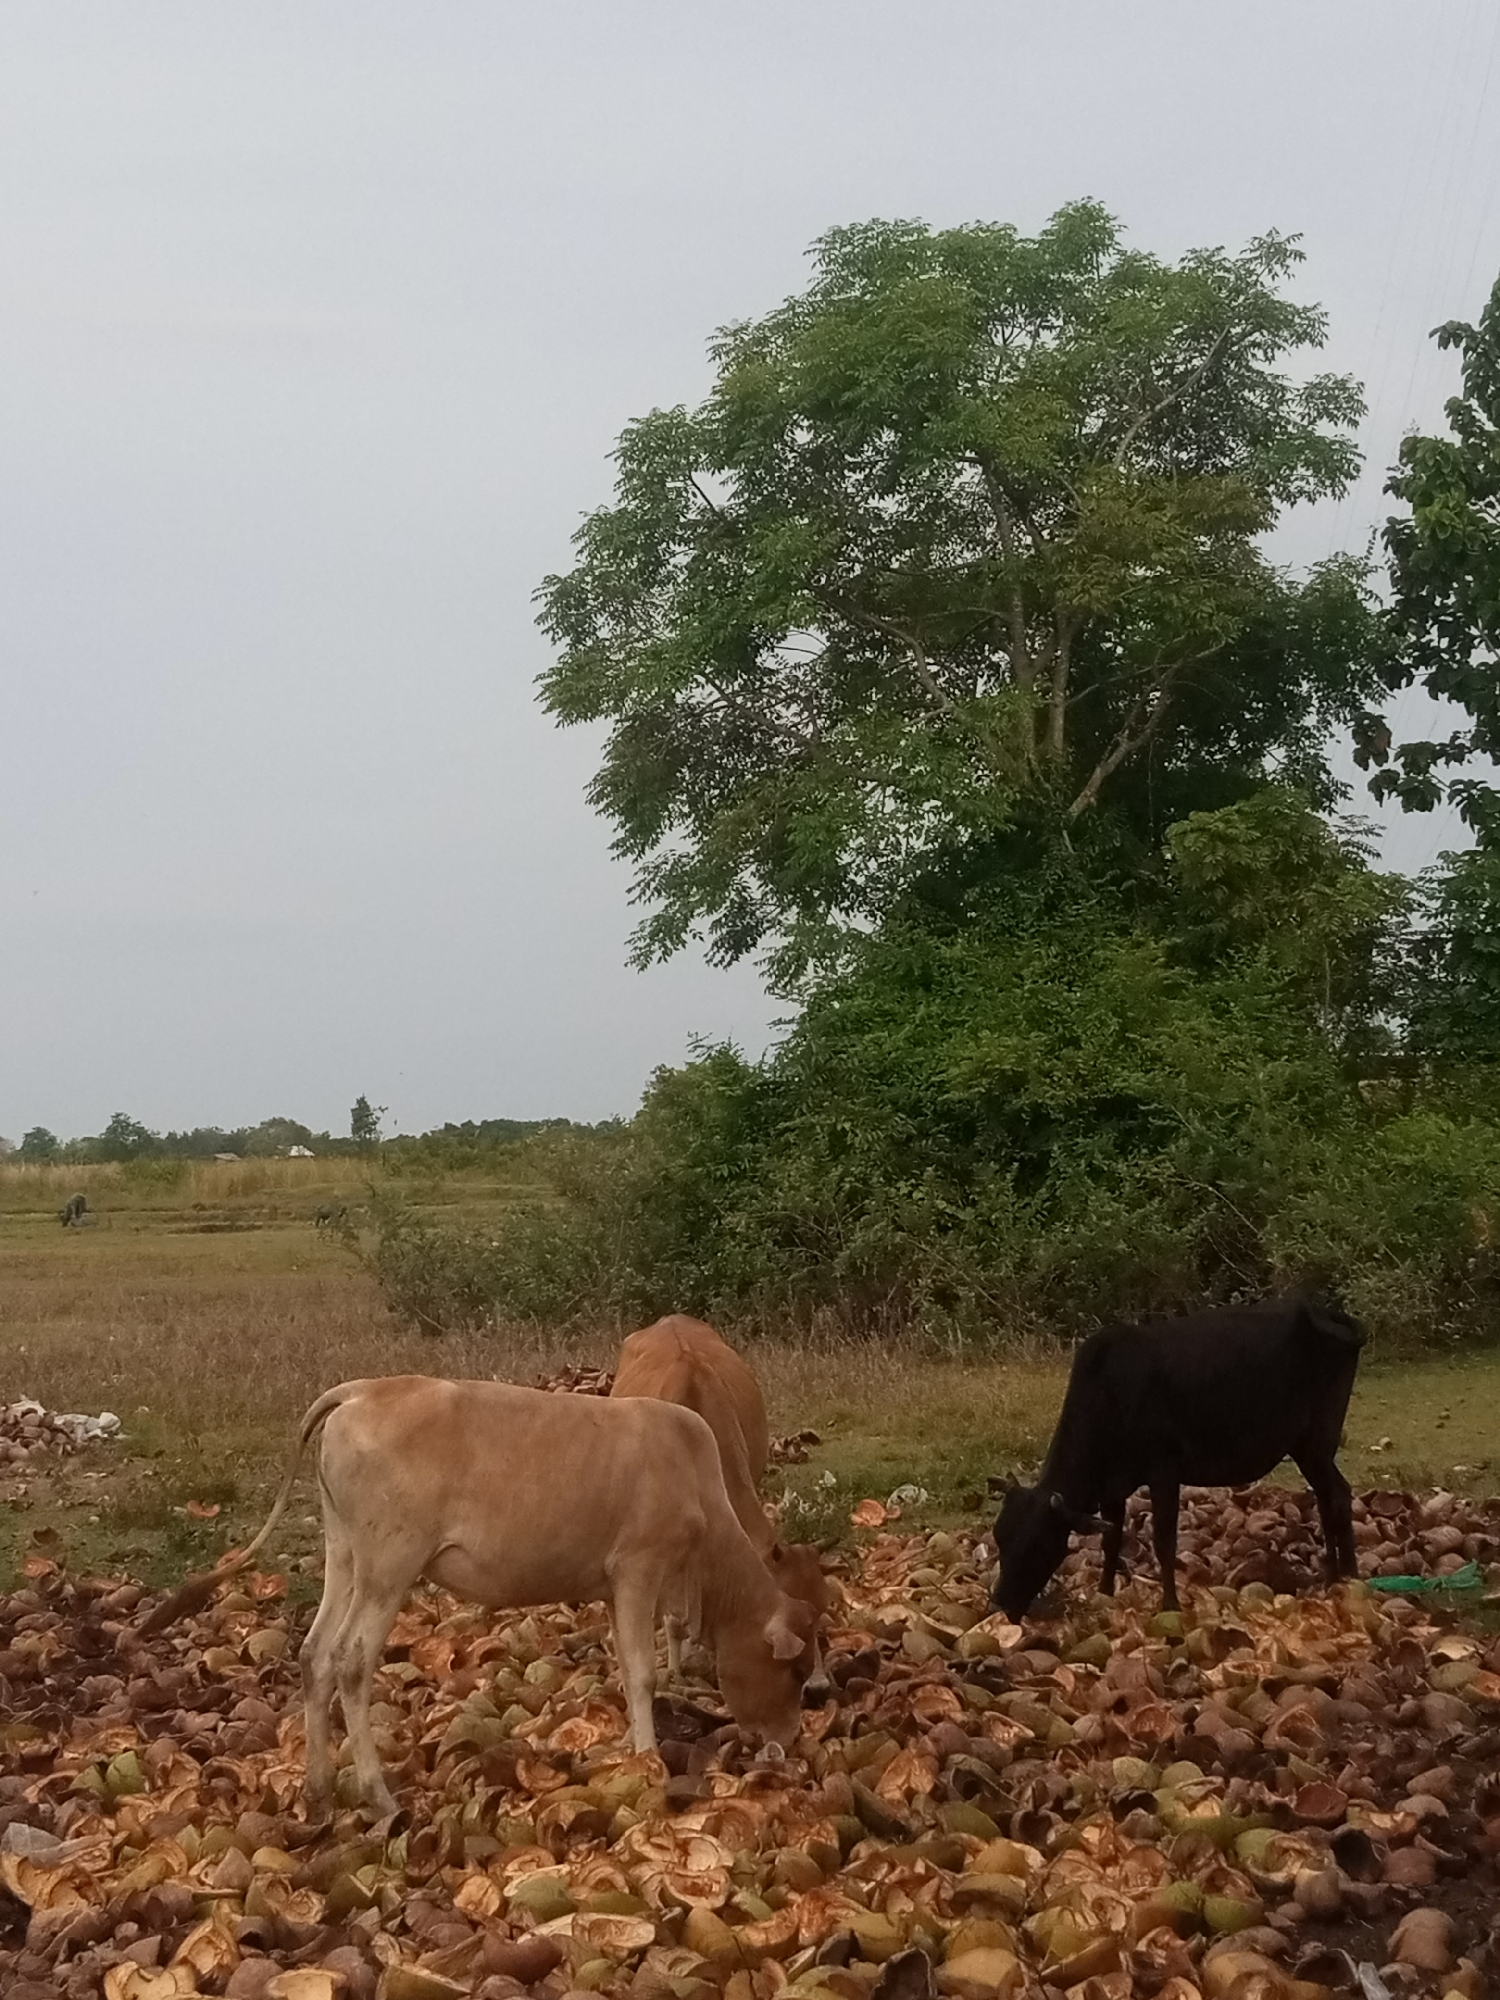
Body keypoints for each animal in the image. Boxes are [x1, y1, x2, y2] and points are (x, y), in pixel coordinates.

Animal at [142, 1376, 816, 1815]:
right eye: (793, 1672)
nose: (787, 1745)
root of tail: (360, 1390)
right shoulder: (637, 1570)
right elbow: (643, 1672)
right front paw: (648, 1755)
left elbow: (627, 1669)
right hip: (390, 1562)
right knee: (350, 1660)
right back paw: (378, 1793)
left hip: (346, 1555)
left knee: (314, 1655)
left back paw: (318, 1787)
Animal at [991, 1295, 1364, 1620]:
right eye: (999, 1538)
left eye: (1037, 1545)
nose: (1000, 1603)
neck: (1110, 1394)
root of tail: (1320, 1311)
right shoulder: (1113, 1486)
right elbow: (1111, 1539)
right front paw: (1105, 1591)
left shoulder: (1164, 1472)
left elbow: (1164, 1541)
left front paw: (1169, 1603)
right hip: (1306, 1448)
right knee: (1328, 1495)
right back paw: (1335, 1573)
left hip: (1317, 1441)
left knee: (1337, 1495)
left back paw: (1347, 1574)